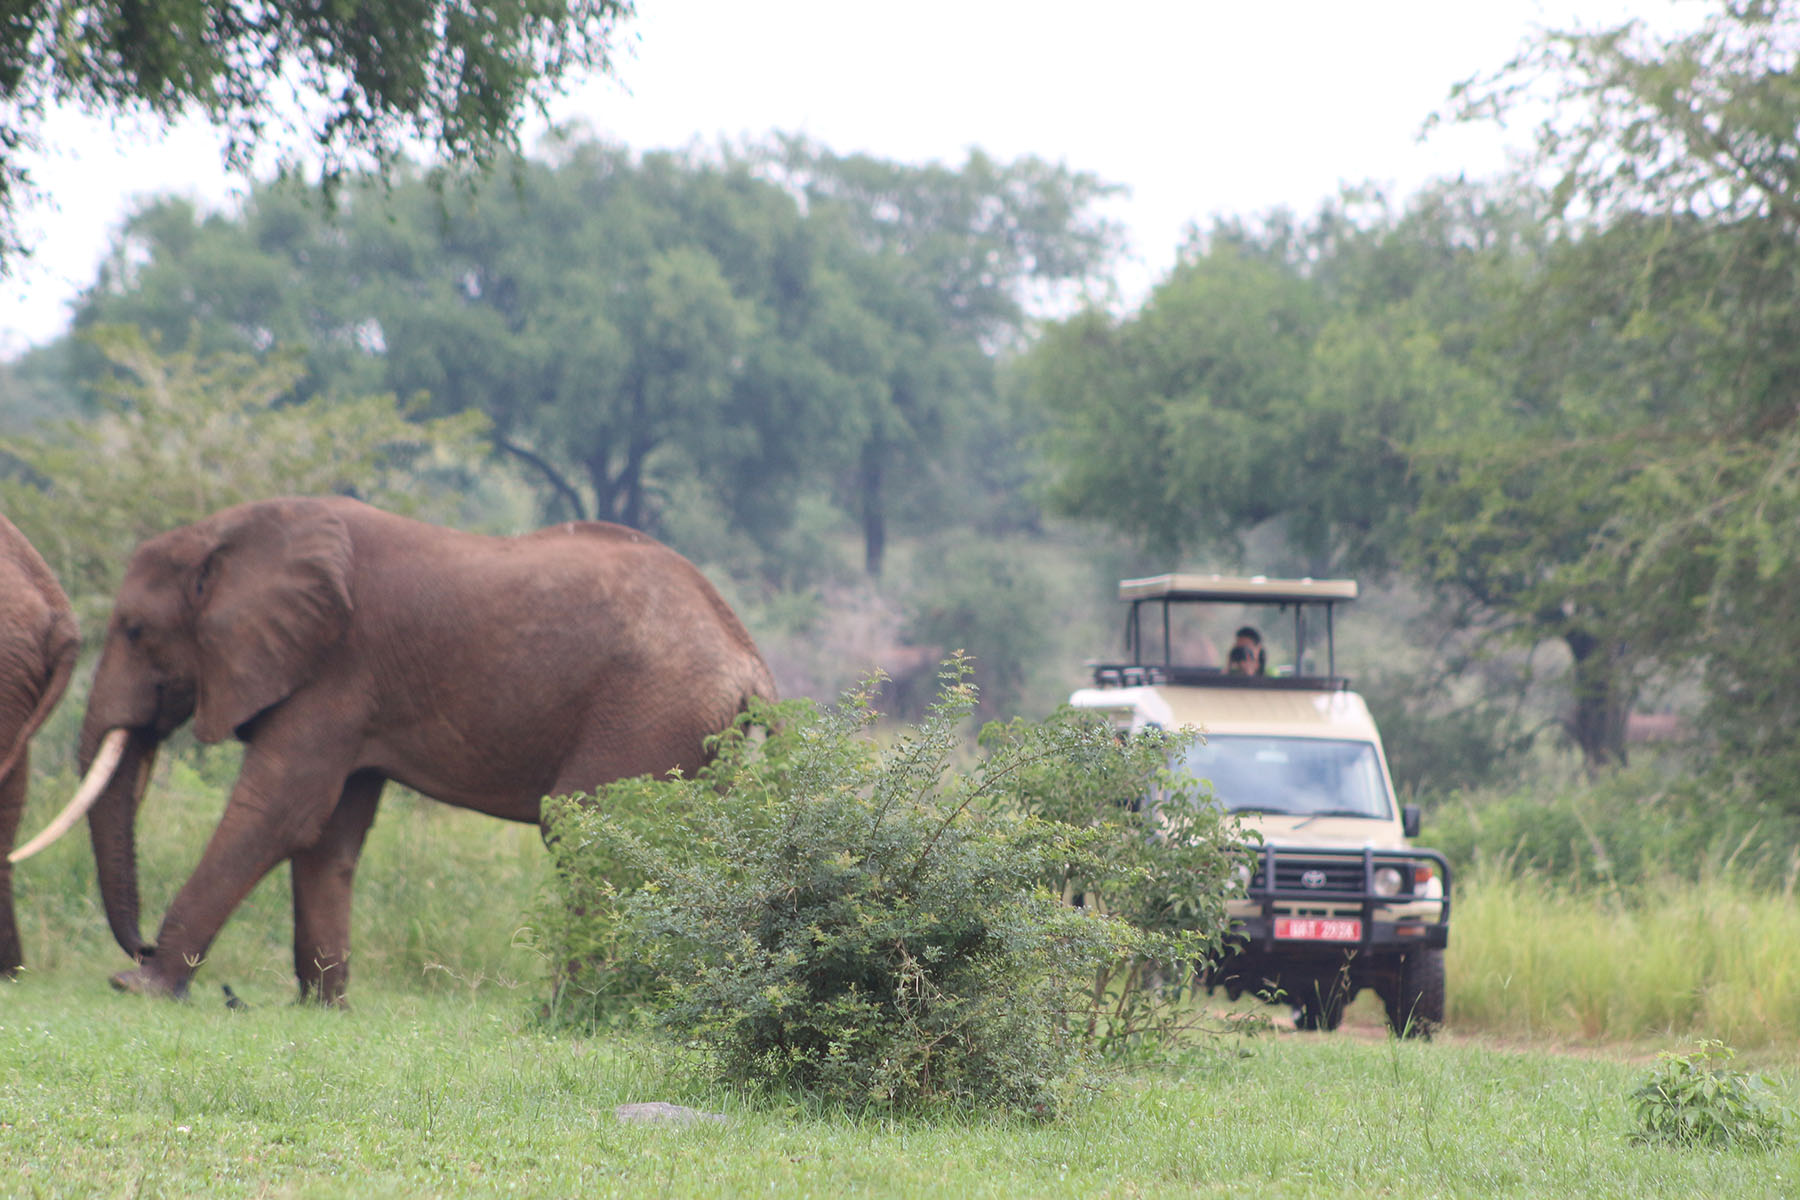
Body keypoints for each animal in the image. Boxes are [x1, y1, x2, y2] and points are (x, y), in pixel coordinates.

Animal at [15, 496, 774, 1007]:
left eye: (134, 631)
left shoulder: (333, 672)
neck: (229, 534)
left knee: (584, 834)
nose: (139, 943)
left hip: (649, 711)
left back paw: (573, 1009)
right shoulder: (353, 696)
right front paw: (323, 1008)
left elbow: (277, 813)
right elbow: (328, 835)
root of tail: (750, 663)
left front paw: (139, 987)